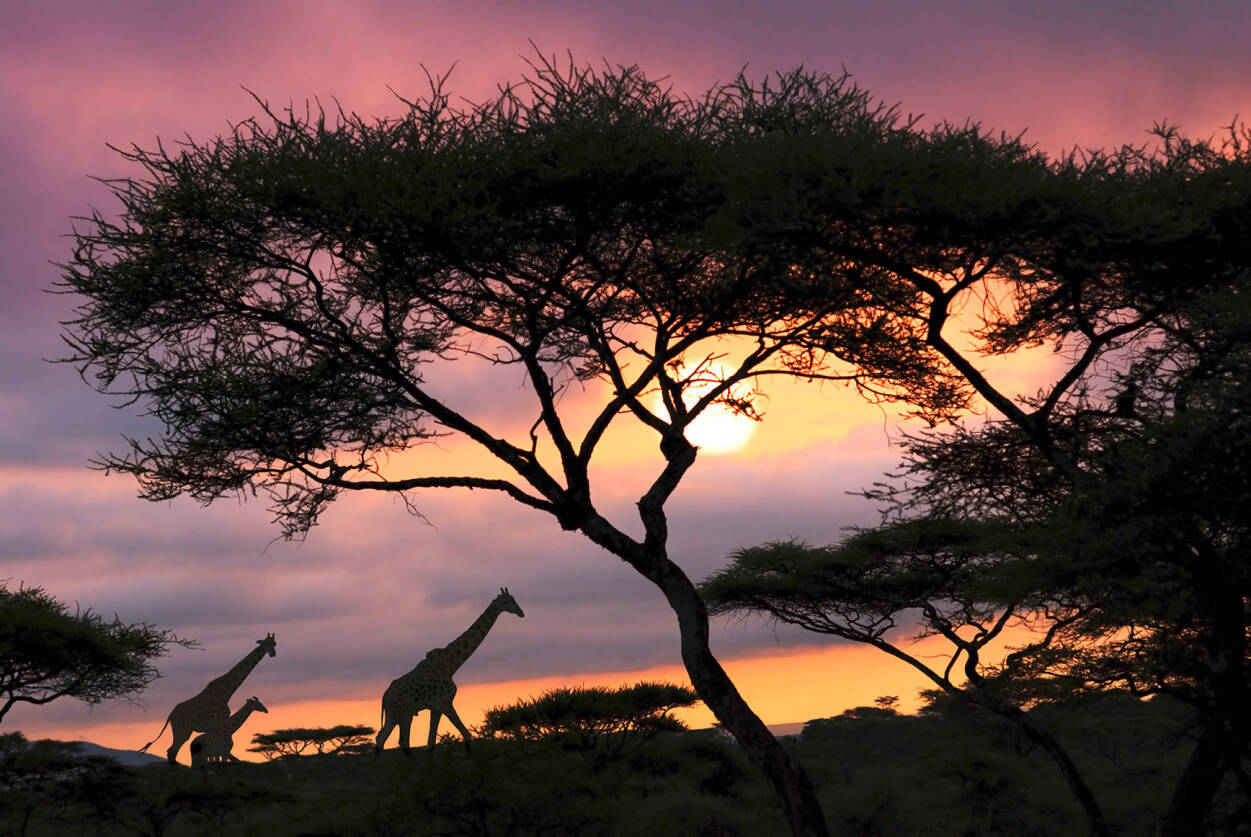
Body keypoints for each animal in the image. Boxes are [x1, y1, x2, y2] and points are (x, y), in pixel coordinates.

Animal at [139, 633, 277, 764]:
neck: (226, 693)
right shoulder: (219, 722)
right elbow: (218, 753)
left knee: (172, 750)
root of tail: (171, 715)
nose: (273, 654)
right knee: (172, 750)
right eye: (268, 643)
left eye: (275, 643)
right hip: (182, 730)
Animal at [375, 588, 523, 757]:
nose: (521, 612)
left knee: (381, 739)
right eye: (507, 601)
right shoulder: (445, 702)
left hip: (393, 715)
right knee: (402, 741)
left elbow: (431, 743)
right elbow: (466, 734)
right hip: (405, 714)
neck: (451, 666)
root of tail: (385, 697)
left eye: (514, 599)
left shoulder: (436, 707)